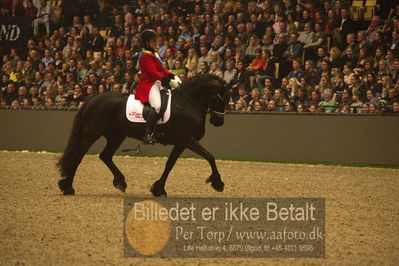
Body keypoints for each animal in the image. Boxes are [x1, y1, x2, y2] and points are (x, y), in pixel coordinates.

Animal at [57, 74, 230, 196]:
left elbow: (170, 165)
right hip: (91, 133)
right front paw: (218, 183)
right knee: (79, 156)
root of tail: (92, 99)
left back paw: (120, 182)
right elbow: (210, 157)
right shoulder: (188, 140)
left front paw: (158, 189)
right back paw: (68, 187)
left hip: (116, 136)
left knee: (105, 156)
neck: (188, 103)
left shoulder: (181, 143)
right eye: (220, 99)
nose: (218, 122)